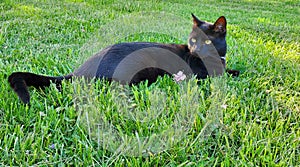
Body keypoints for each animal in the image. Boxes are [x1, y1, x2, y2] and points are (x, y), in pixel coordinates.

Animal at [8, 14, 240, 104]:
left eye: (207, 41)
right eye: (192, 40)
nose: (195, 49)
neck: (215, 59)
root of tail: (80, 70)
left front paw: (235, 70)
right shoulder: (202, 75)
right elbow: (221, 75)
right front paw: (232, 72)